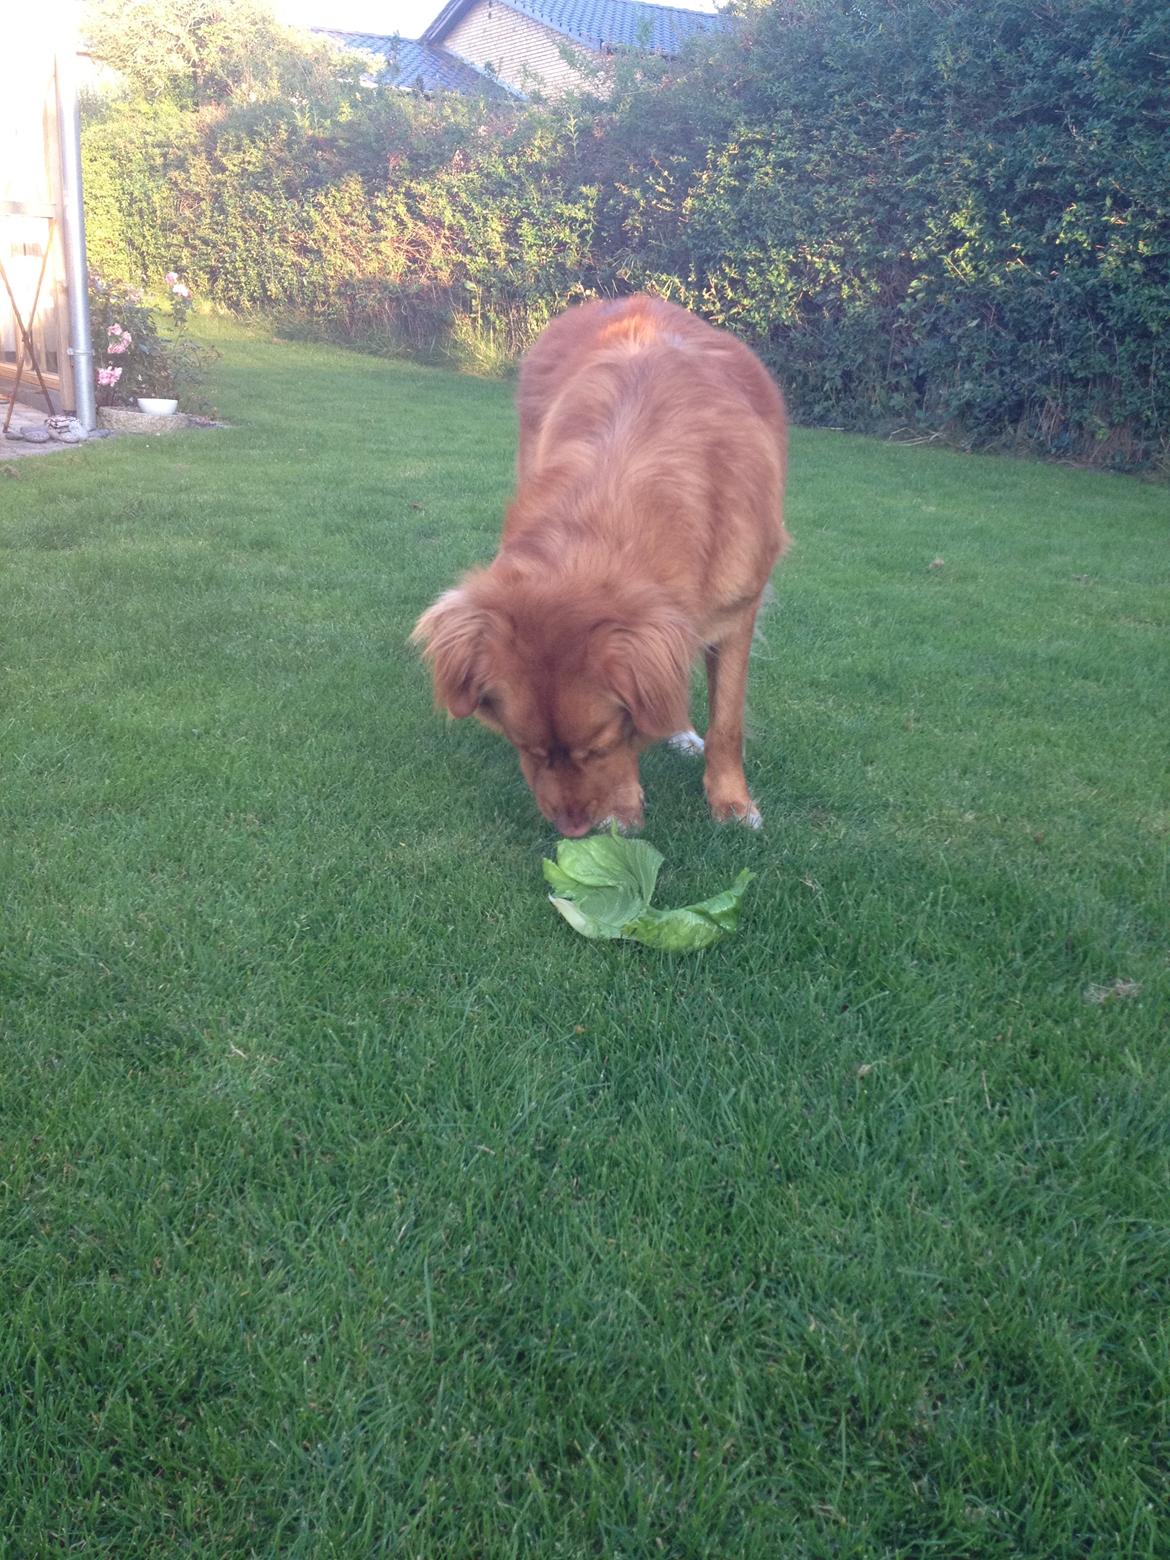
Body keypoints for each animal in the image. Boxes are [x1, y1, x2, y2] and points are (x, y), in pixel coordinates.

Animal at [408, 296, 789, 836]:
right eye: (526, 748)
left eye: (599, 747)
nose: (572, 830)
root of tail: (627, 298)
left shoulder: (739, 607)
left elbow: (727, 719)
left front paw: (731, 802)